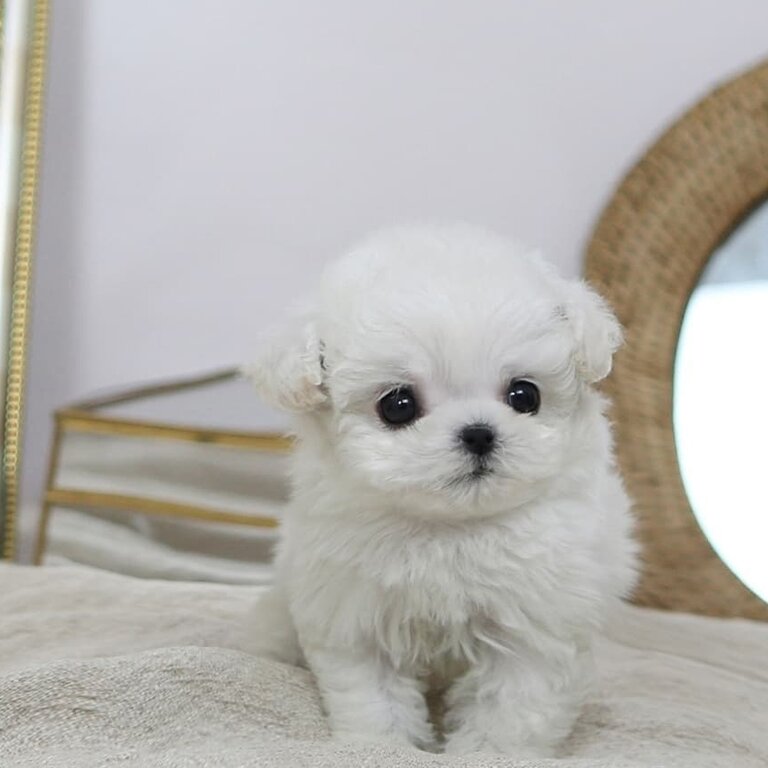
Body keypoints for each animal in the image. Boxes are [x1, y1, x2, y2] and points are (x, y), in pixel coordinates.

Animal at [248, 225, 636, 760]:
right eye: (398, 405)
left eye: (525, 396)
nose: (479, 434)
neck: (450, 529)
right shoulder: (357, 617)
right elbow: (374, 698)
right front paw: (381, 747)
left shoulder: (536, 630)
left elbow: (511, 711)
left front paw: (490, 754)